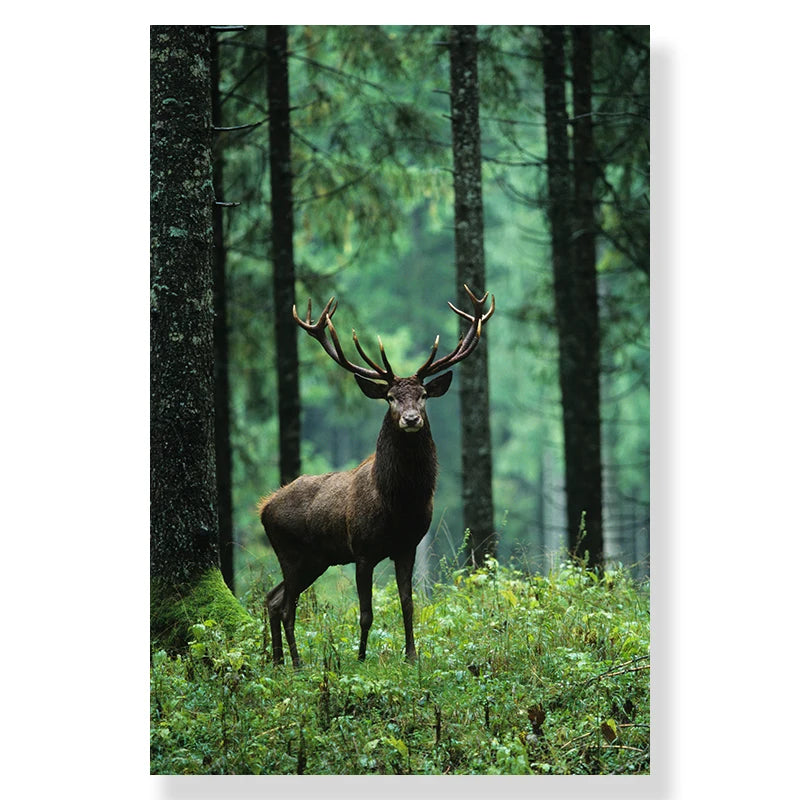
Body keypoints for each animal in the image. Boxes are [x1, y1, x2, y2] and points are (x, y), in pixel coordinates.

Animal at [258, 285, 495, 667]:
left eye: (423, 395)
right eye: (390, 397)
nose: (411, 419)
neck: (398, 503)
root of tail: (264, 507)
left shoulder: (407, 546)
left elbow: (408, 603)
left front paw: (412, 655)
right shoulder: (363, 550)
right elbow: (365, 612)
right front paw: (360, 658)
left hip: (315, 559)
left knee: (272, 598)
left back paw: (280, 661)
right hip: (290, 552)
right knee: (286, 605)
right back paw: (295, 663)